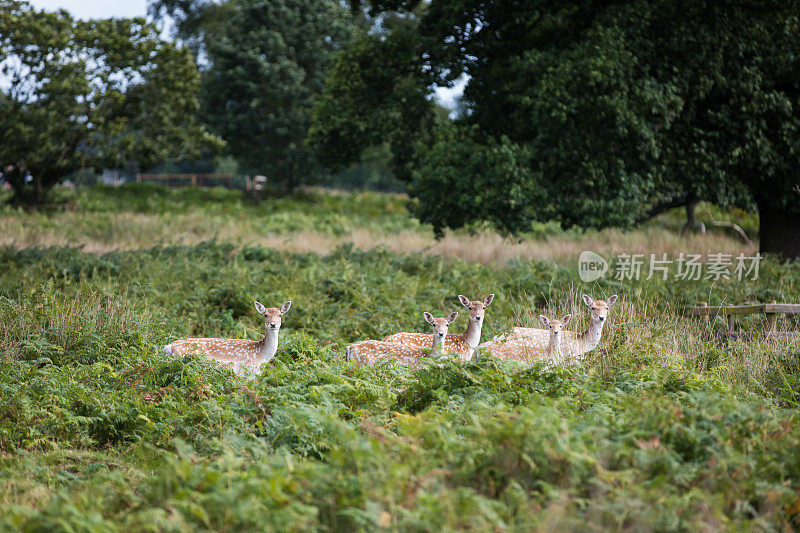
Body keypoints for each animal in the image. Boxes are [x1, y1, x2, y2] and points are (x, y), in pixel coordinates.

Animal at [164, 300, 292, 374]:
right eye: (265, 315)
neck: (262, 355)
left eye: (280, 315)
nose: (273, 324)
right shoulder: (246, 371)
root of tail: (168, 347)